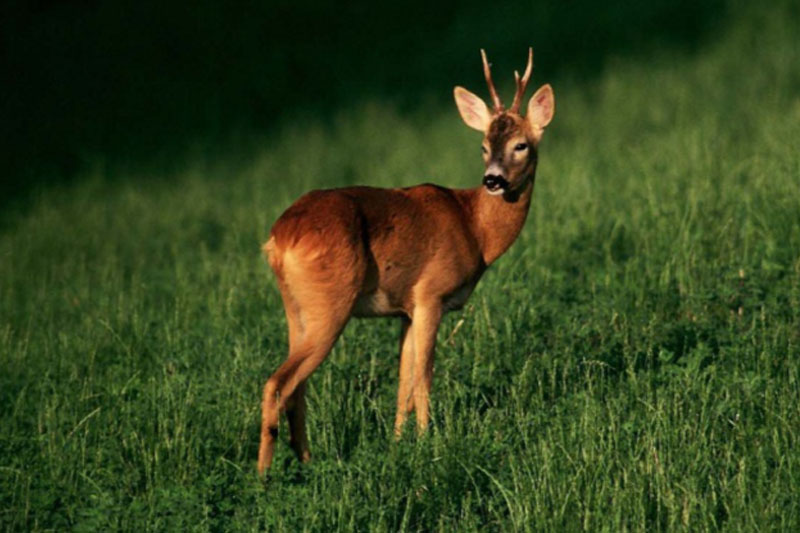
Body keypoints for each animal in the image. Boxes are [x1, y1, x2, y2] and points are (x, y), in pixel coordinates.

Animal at [260, 46, 552, 470]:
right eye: (483, 146)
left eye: (521, 145)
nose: (493, 180)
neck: (474, 227)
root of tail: (279, 238)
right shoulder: (431, 295)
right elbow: (424, 377)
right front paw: (431, 443)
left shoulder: (406, 310)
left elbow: (402, 383)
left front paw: (398, 443)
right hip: (330, 303)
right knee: (278, 383)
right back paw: (264, 475)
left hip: (295, 309)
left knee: (296, 385)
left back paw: (307, 461)